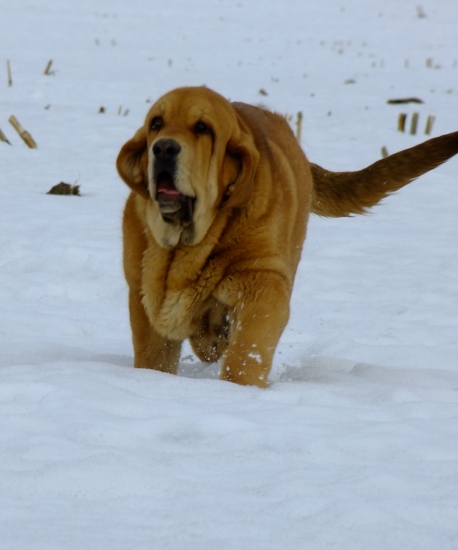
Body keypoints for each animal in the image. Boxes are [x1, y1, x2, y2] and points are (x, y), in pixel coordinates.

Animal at [118, 86, 458, 388]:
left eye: (202, 128)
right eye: (156, 123)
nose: (163, 148)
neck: (188, 245)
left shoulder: (263, 282)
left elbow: (247, 350)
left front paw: (237, 389)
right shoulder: (142, 296)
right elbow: (154, 356)